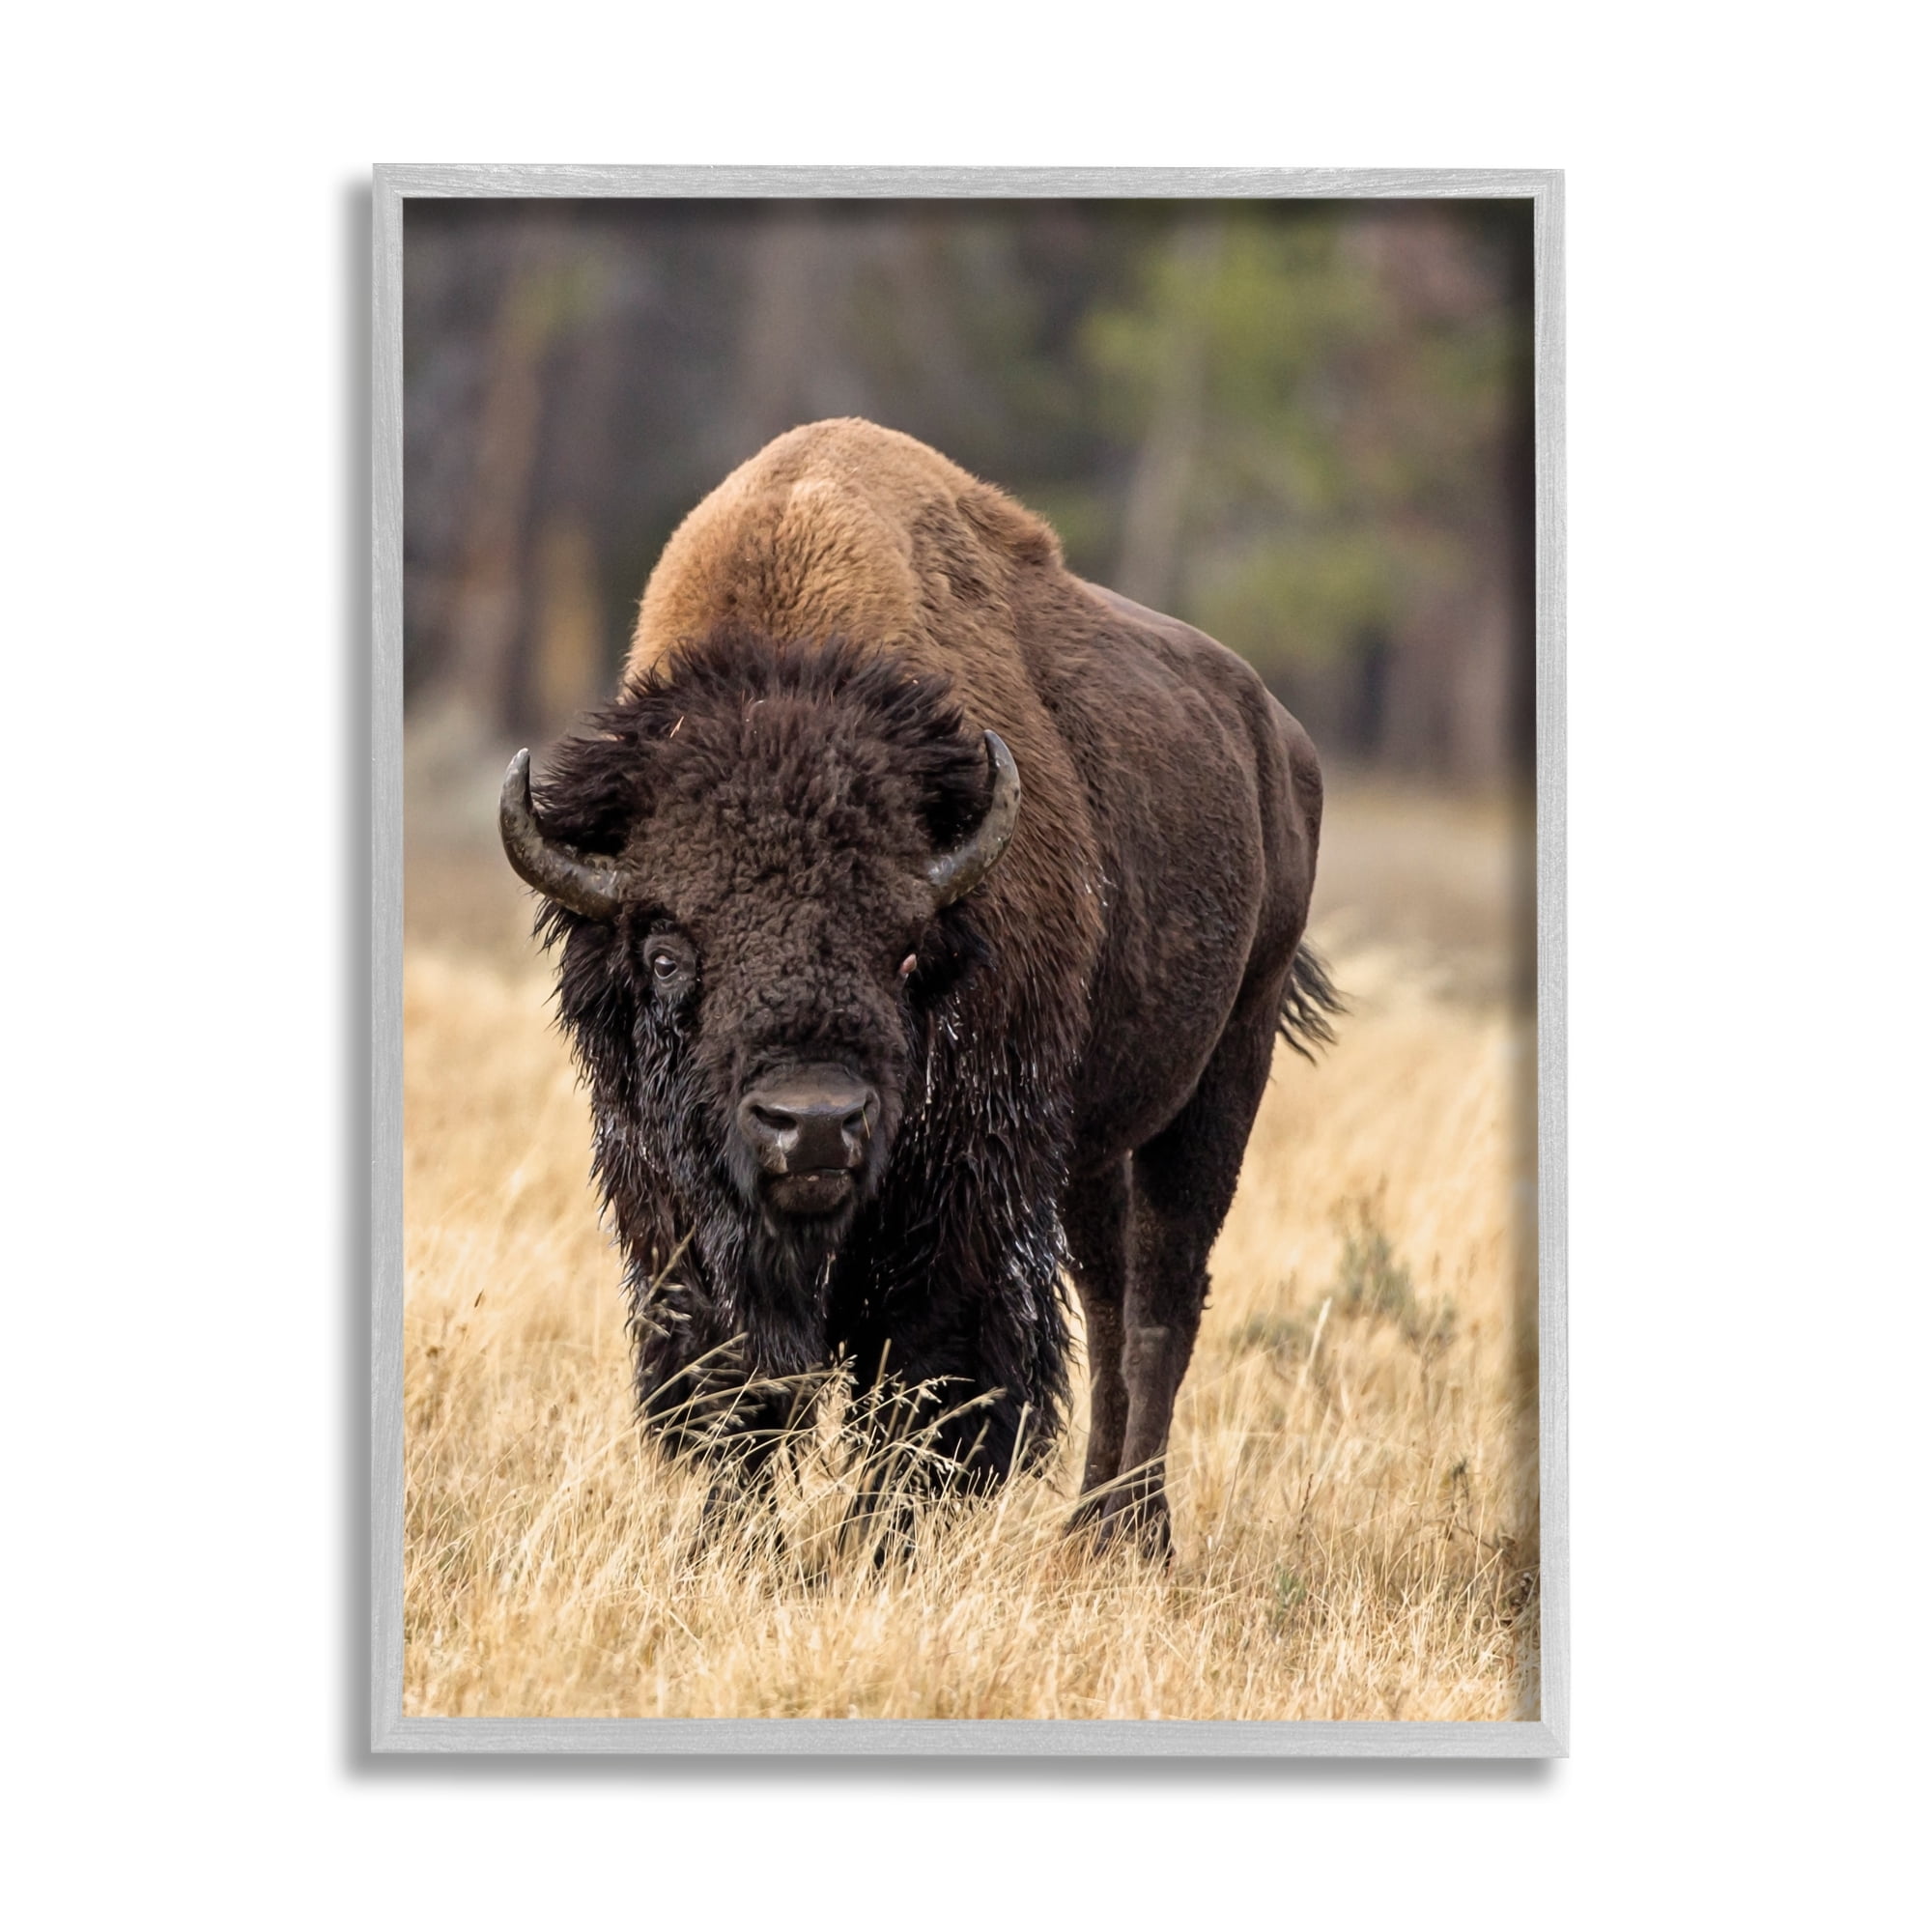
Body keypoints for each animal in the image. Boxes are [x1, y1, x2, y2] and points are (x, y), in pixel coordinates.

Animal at [500, 418, 1337, 1553]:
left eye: (905, 949)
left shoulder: (965, 1190)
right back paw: (1085, 1525)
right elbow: (734, 1371)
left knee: (1164, 1298)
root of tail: (1278, 741)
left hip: (1223, 1071)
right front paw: (734, 1540)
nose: (812, 1125)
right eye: (667, 953)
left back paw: (1134, 1533)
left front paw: (872, 1543)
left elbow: (929, 1371)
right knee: (1109, 1294)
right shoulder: (672, 1197)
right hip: (1092, 1143)